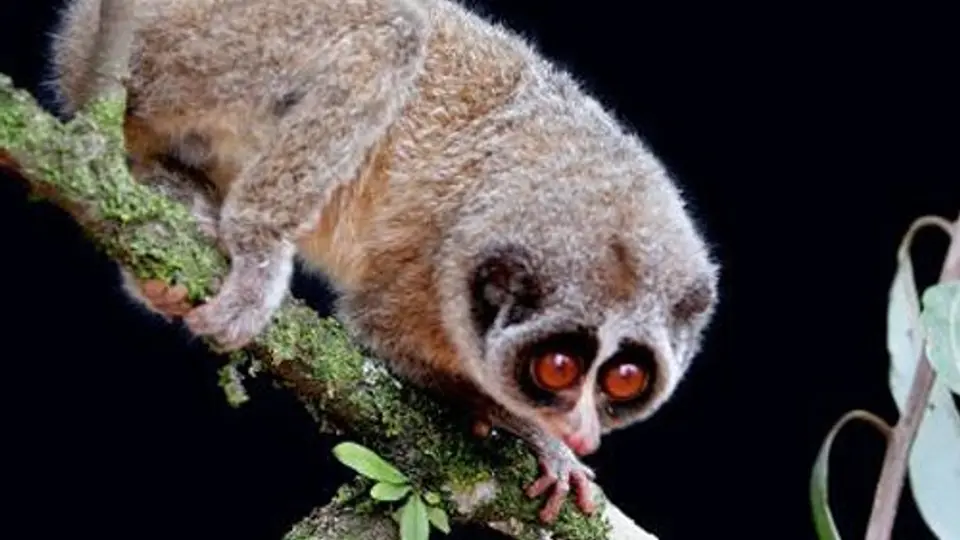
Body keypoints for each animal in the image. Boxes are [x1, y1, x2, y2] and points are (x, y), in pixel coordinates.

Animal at [47, 0, 720, 524]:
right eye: (558, 368)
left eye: (624, 379)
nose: (582, 431)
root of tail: (82, 40)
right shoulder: (426, 269)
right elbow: (383, 333)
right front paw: (528, 433)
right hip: (194, 42)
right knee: (388, 34)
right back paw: (255, 250)